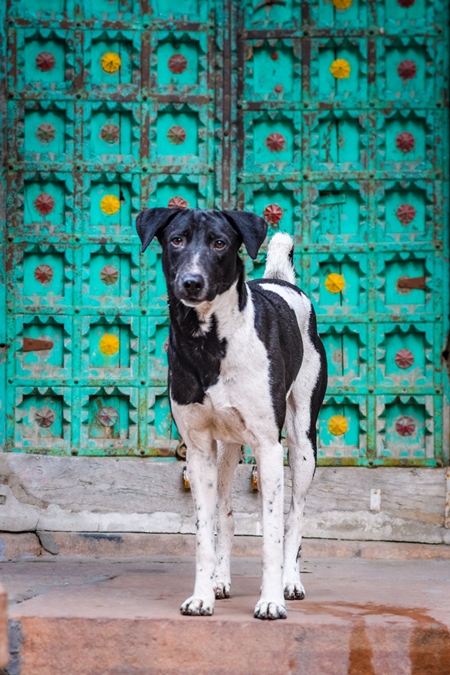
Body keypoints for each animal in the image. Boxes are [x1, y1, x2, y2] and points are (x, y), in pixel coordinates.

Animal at [134, 209, 326, 620]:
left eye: (220, 243)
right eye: (176, 239)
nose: (191, 282)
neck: (208, 341)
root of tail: (279, 281)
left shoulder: (269, 447)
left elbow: (272, 533)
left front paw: (270, 600)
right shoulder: (199, 450)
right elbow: (205, 532)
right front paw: (202, 595)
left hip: (302, 443)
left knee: (294, 516)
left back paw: (290, 582)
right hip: (226, 451)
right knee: (226, 514)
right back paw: (221, 580)